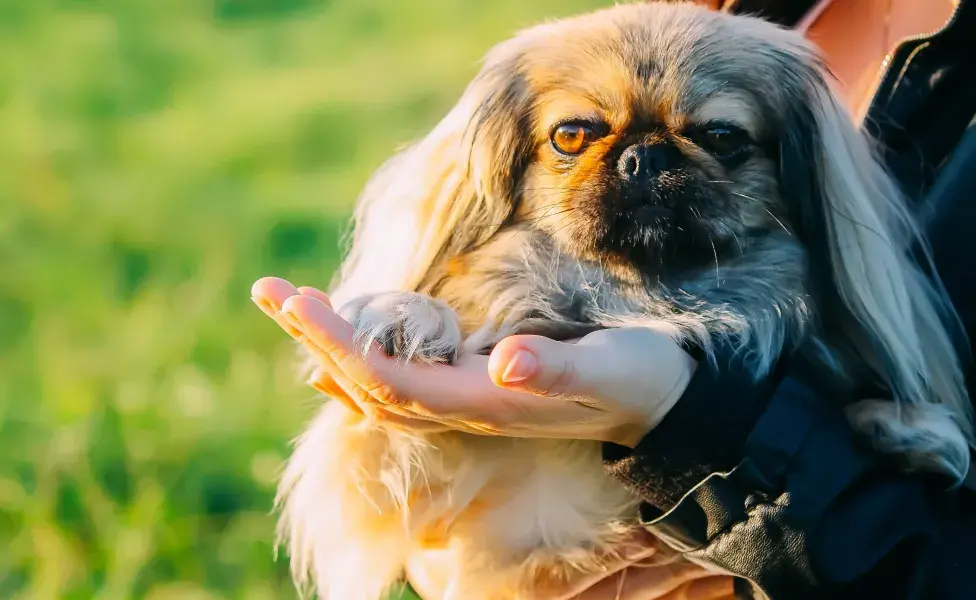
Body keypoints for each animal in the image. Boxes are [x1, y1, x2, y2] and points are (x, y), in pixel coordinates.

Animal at [272, 2, 968, 596]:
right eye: (572, 135)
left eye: (722, 136)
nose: (645, 155)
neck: (635, 295)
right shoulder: (384, 476)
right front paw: (407, 314)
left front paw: (908, 427)